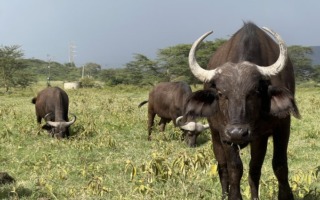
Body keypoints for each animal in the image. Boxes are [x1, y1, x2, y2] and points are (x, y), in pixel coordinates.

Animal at [178, 21, 300, 199]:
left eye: (254, 91)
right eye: (221, 93)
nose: (237, 132)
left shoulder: (281, 127)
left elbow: (278, 165)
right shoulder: (225, 136)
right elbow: (235, 168)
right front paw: (233, 195)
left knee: (255, 168)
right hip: (215, 135)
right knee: (223, 167)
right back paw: (224, 194)